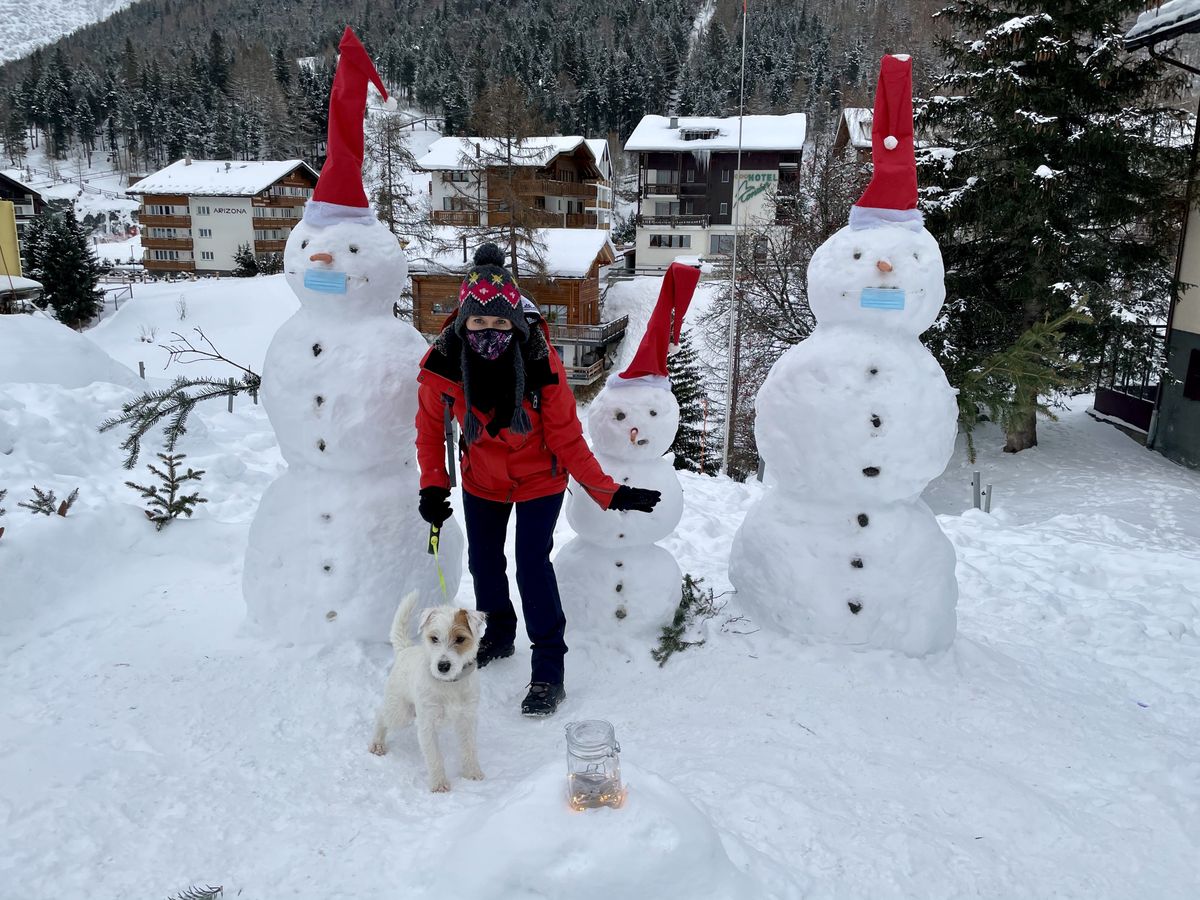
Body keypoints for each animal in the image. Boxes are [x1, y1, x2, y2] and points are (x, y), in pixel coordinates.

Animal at [372, 592, 489, 796]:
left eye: (460, 639)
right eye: (434, 638)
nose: (443, 666)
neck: (449, 684)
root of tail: (405, 649)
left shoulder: (467, 718)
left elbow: (469, 748)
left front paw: (473, 773)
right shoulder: (427, 723)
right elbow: (434, 756)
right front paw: (439, 784)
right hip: (400, 712)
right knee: (381, 716)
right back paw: (377, 744)